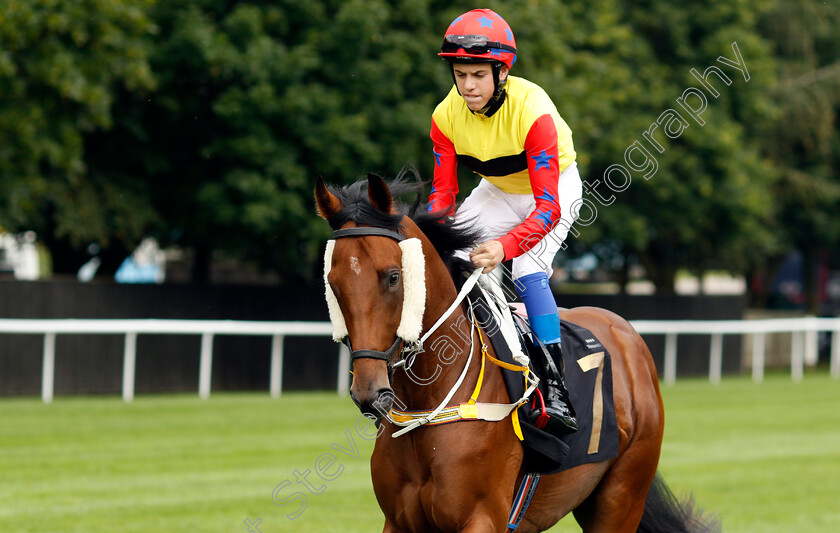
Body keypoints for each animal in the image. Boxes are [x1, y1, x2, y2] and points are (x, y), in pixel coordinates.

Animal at [316, 172, 716, 528]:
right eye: (333, 283)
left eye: (393, 277)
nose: (369, 392)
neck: (428, 403)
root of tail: (624, 331)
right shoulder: (399, 522)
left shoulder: (482, 517)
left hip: (622, 497)